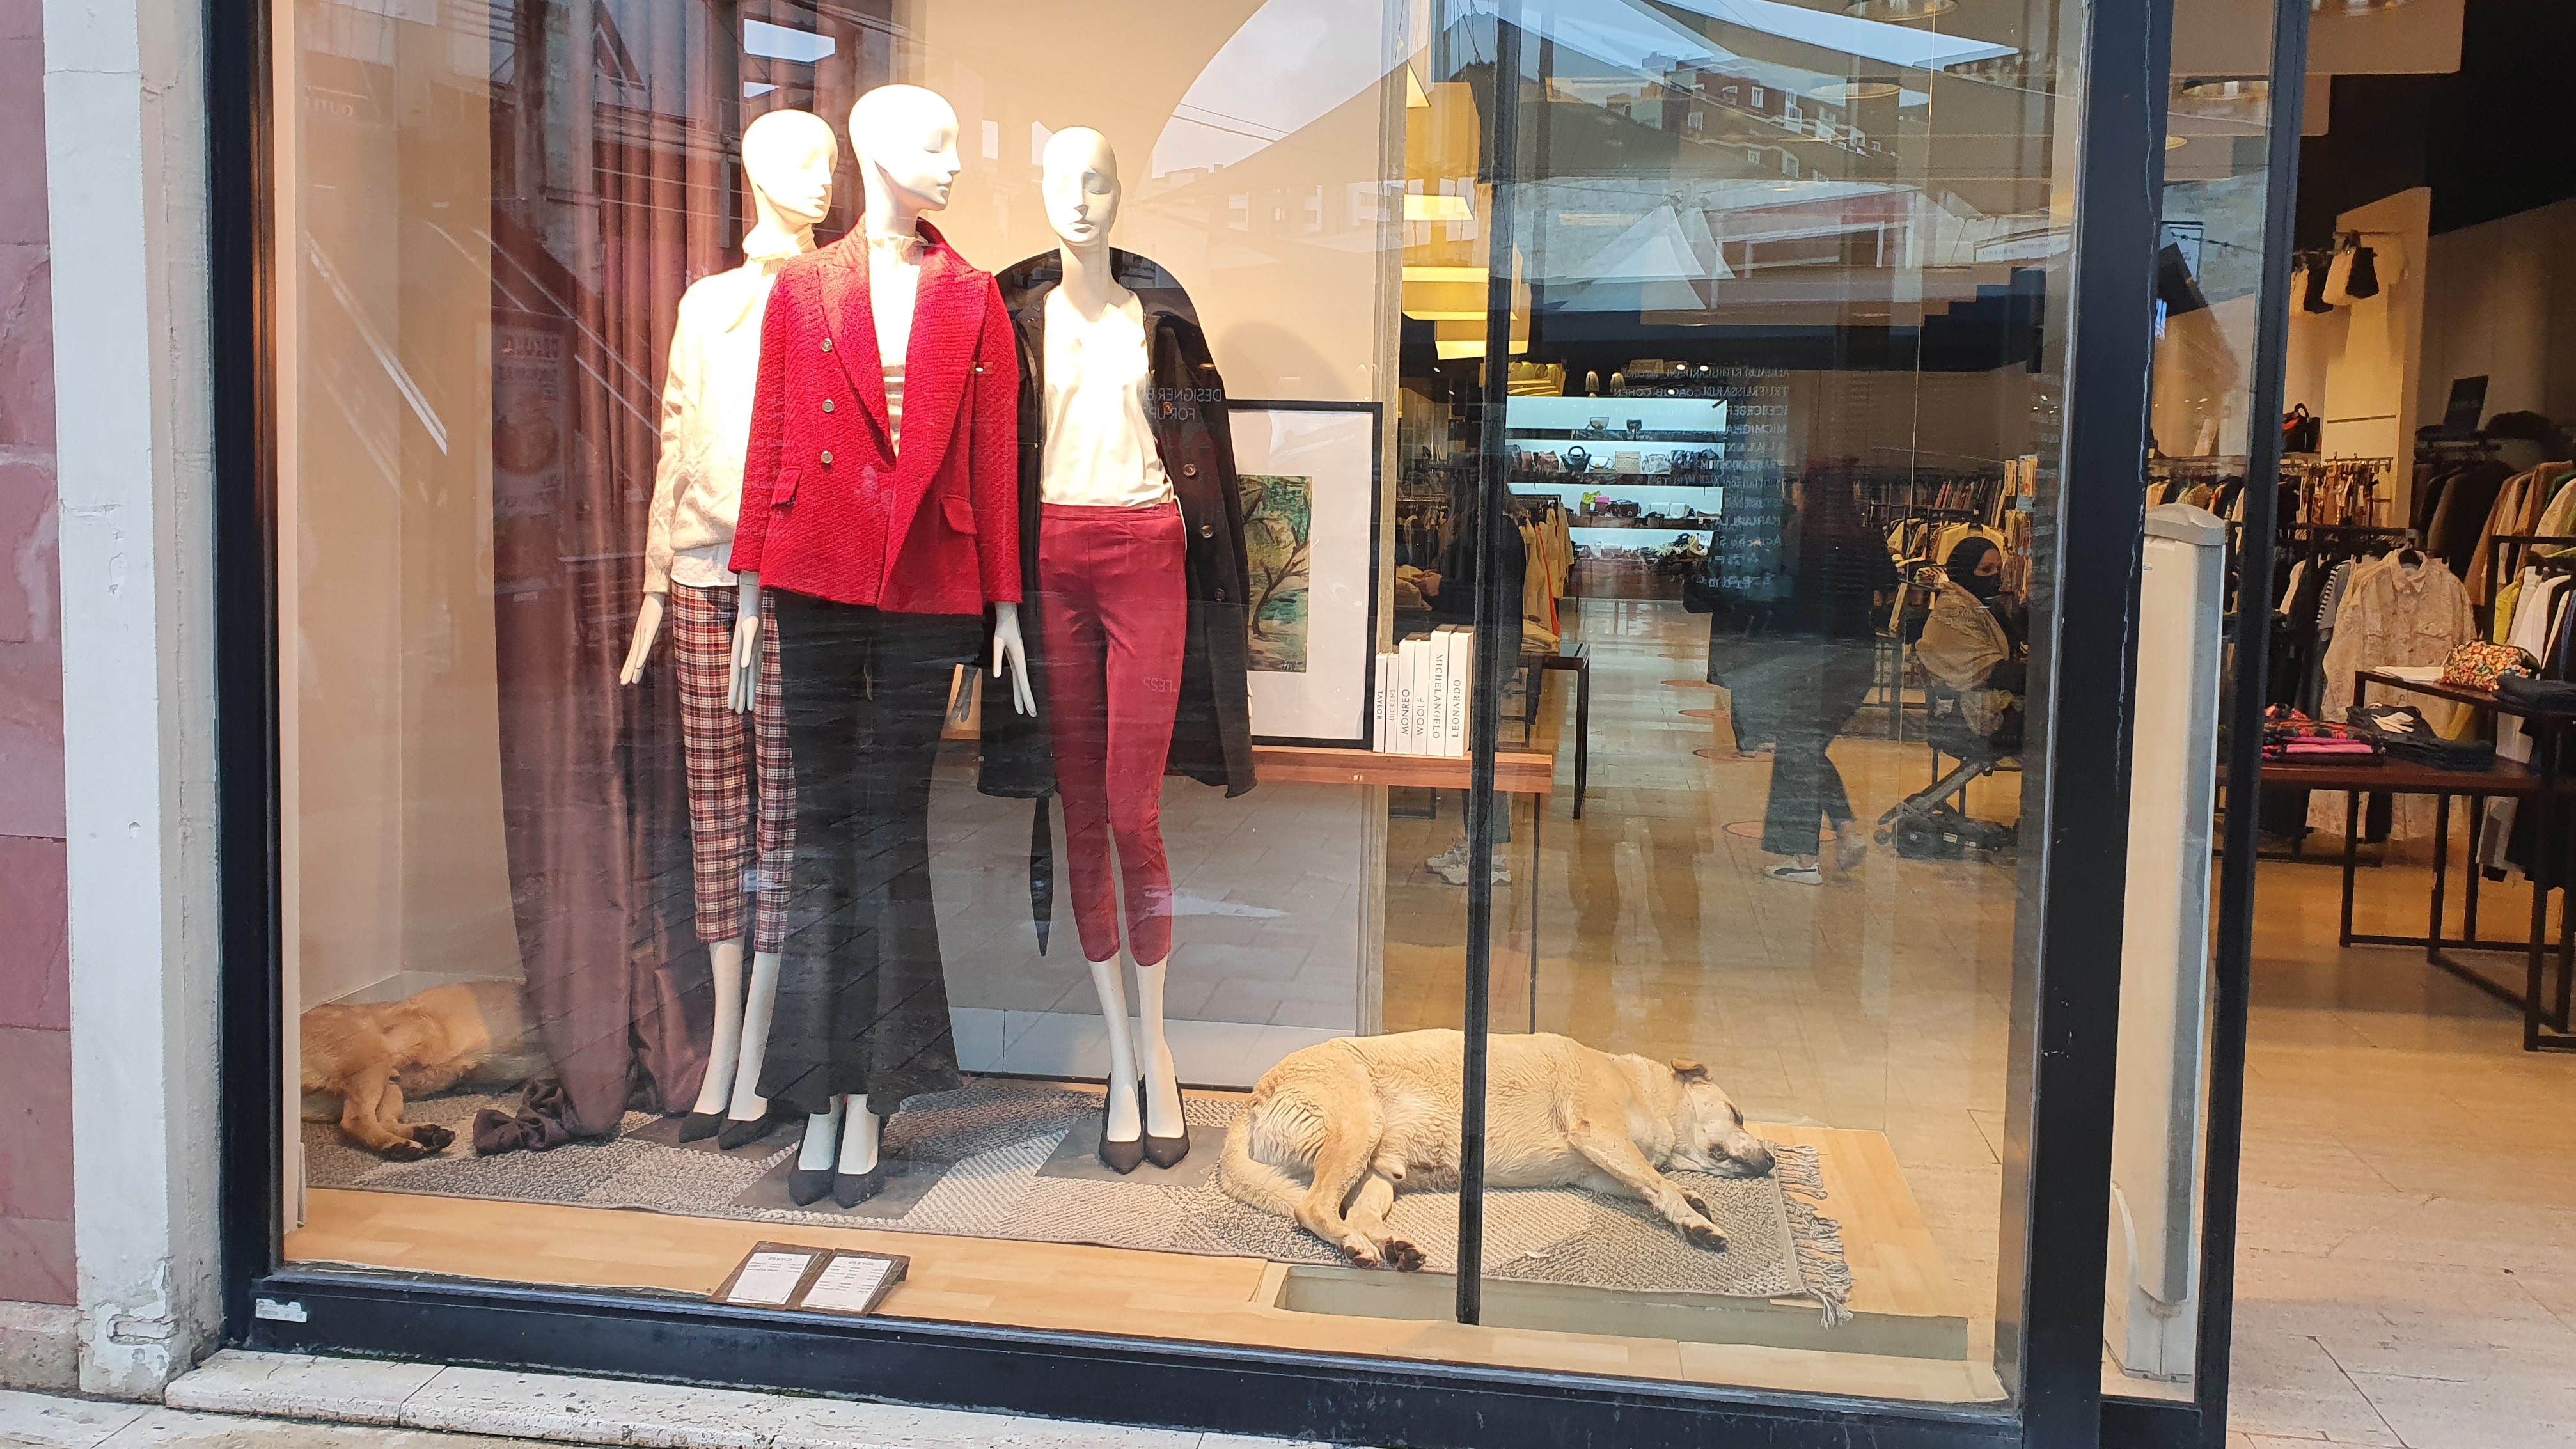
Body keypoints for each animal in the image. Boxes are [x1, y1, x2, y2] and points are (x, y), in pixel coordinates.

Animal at [1221, 1029, 1772, 1271]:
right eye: (1739, 1114)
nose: (1770, 1162)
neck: (1642, 1088)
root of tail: (1254, 1098)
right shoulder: (1599, 1133)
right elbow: (1657, 1183)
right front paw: (1697, 1224)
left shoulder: (1598, 1171)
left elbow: (1650, 1185)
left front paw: (1690, 1202)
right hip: (1360, 1130)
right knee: (1312, 1208)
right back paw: (1359, 1248)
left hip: (1380, 1170)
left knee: (1356, 1214)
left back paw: (1394, 1247)